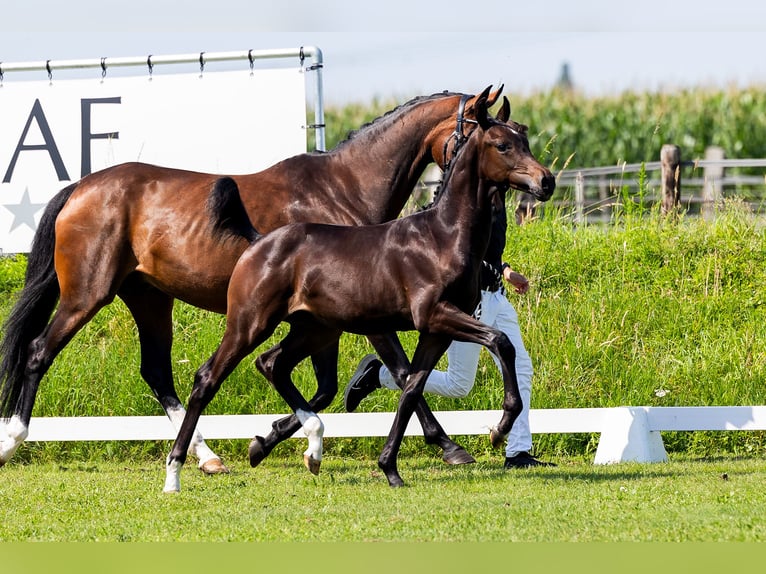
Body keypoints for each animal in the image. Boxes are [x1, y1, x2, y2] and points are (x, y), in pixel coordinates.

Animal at [4, 86, 516, 472]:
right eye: (490, 136)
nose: (507, 197)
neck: (343, 187)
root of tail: (80, 187)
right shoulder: (366, 316)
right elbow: (403, 372)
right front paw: (449, 445)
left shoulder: (327, 319)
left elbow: (329, 388)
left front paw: (270, 438)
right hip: (87, 295)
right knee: (39, 351)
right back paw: (13, 439)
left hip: (149, 299)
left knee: (158, 372)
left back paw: (207, 456)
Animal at [165, 88, 556, 492]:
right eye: (502, 144)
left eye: (525, 139)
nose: (547, 182)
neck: (442, 236)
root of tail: (259, 240)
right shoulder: (434, 315)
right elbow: (499, 342)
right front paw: (498, 429)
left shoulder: (437, 329)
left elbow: (412, 386)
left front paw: (391, 467)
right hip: (249, 323)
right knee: (207, 380)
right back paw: (176, 472)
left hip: (314, 329)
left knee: (273, 363)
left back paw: (288, 446)